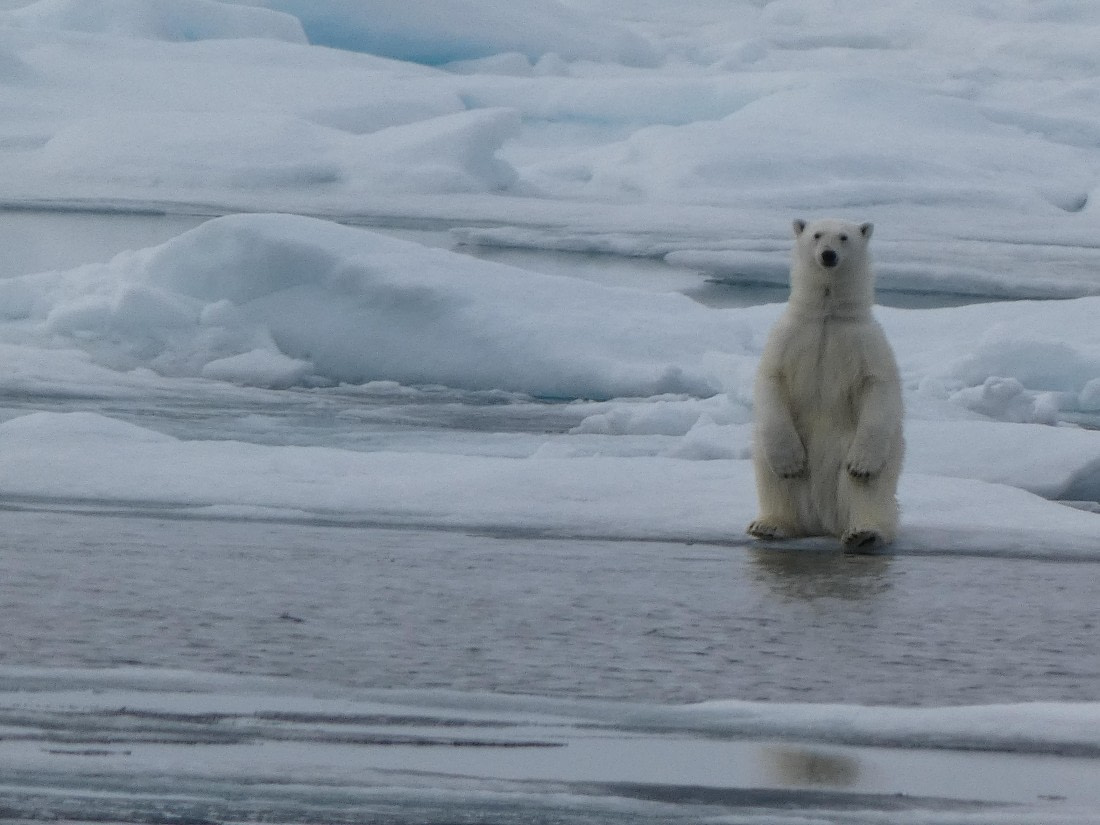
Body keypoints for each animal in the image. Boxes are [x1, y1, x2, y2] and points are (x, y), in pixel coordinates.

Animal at [747, 218, 904, 552]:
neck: (827, 315)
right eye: (816, 235)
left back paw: (864, 532)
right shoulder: (788, 337)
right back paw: (769, 524)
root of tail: (823, 522)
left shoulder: (867, 344)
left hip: (853, 451)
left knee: (866, 489)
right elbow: (769, 380)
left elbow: (879, 387)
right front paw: (790, 463)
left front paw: (861, 464)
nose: (828, 255)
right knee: (773, 480)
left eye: (844, 237)